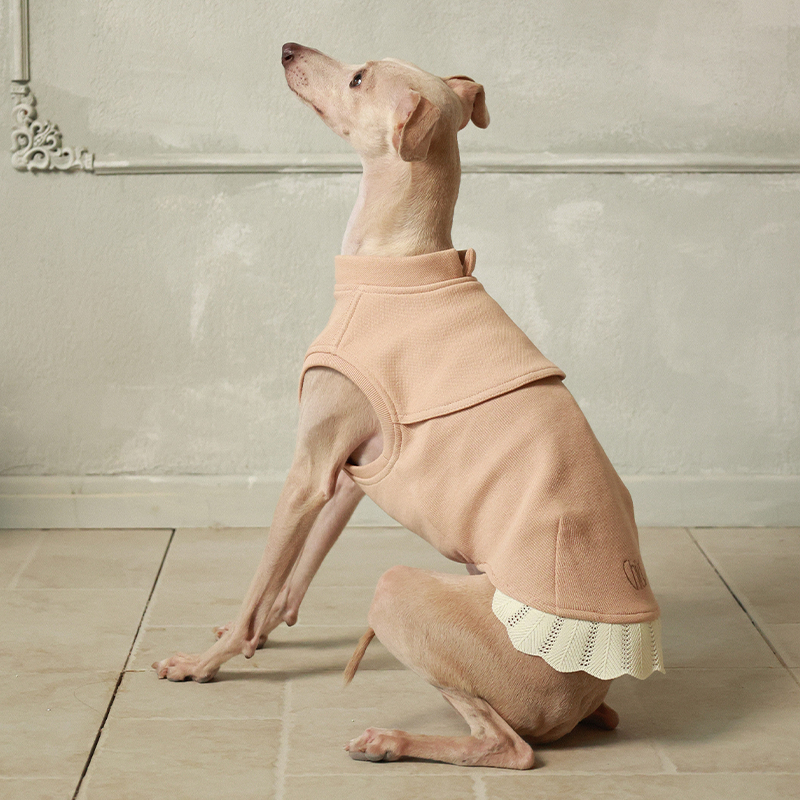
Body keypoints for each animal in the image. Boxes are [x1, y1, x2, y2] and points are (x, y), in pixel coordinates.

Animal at [154, 44, 663, 769]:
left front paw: (205, 663)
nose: (286, 47)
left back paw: (391, 741)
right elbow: (287, 582)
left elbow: (260, 578)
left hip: (399, 590)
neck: (397, 265)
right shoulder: (346, 477)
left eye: (358, 77)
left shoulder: (308, 471)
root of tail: (586, 698)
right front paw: (253, 638)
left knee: (509, 748)